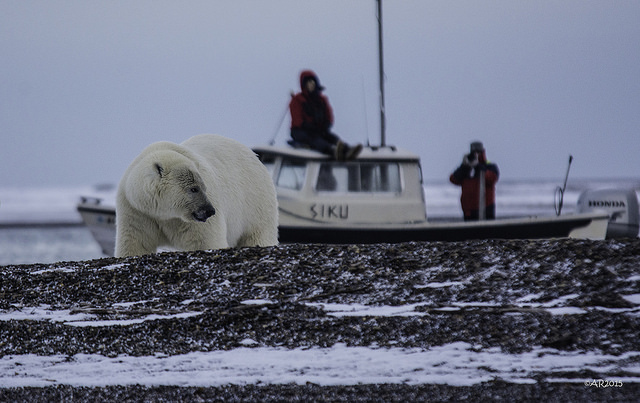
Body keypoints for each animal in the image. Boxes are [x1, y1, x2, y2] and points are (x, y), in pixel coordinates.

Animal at [114, 134, 278, 258]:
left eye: (203, 187)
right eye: (194, 189)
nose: (210, 210)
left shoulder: (193, 221)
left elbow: (205, 241)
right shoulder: (137, 212)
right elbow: (135, 243)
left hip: (255, 203)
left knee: (257, 234)